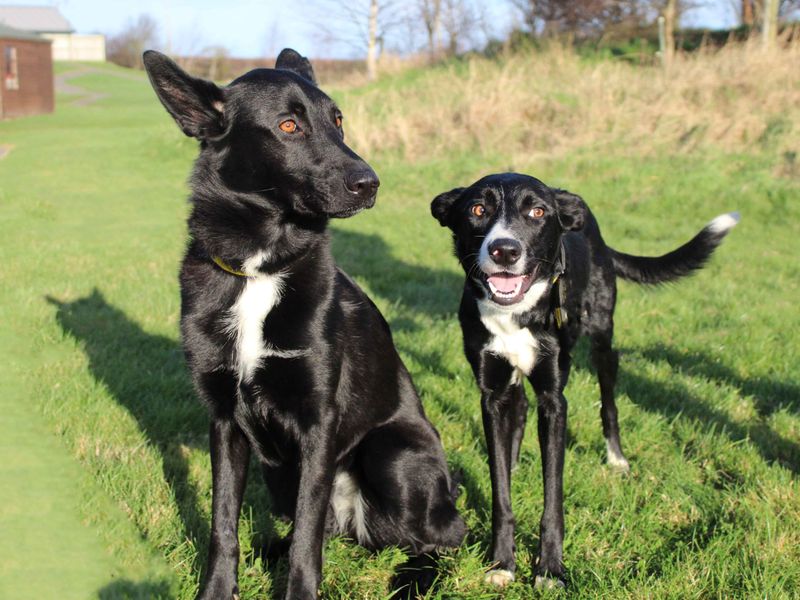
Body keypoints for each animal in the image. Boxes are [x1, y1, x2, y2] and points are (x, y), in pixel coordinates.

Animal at [144, 50, 466, 600]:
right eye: (288, 125)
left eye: (338, 121)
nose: (370, 183)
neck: (261, 267)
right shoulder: (225, 421)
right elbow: (223, 523)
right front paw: (218, 589)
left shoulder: (319, 422)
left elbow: (307, 536)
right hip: (276, 466)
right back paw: (269, 549)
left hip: (391, 452)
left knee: (441, 540)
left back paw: (414, 578)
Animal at [432, 171, 736, 588]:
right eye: (478, 209)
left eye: (537, 212)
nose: (504, 251)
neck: (516, 313)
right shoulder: (491, 393)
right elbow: (500, 493)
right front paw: (502, 562)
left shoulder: (554, 400)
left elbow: (553, 498)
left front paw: (549, 568)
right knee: (520, 407)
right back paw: (514, 462)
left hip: (603, 340)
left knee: (609, 401)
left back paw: (617, 459)